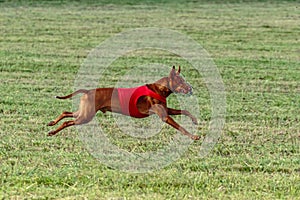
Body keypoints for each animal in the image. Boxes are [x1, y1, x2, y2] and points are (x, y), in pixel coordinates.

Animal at [47, 66, 199, 140]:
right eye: (181, 81)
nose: (191, 88)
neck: (159, 88)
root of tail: (88, 91)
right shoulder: (164, 116)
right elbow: (180, 127)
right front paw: (193, 136)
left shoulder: (166, 110)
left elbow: (185, 111)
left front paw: (194, 120)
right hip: (86, 116)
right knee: (68, 122)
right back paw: (53, 131)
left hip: (84, 111)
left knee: (66, 112)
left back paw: (52, 123)